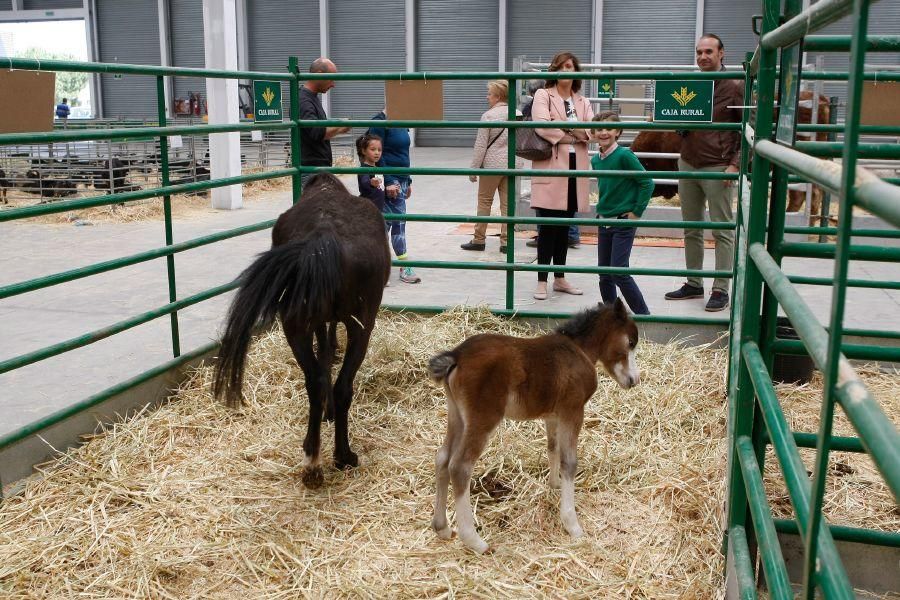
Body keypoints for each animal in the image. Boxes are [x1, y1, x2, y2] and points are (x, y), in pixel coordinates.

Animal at [216, 172, 392, 488]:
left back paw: (312, 460)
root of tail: (324, 236)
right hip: (362, 325)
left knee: (315, 380)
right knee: (342, 385)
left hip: (295, 325)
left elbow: (323, 355)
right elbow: (328, 348)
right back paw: (343, 455)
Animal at [428, 298, 640, 552]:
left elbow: (553, 449)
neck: (578, 349)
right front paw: (572, 525)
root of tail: (457, 355)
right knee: (460, 467)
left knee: (442, 458)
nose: (634, 380)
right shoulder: (573, 410)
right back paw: (475, 541)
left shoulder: (553, 415)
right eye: (630, 342)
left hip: (457, 416)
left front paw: (555, 485)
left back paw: (442, 528)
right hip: (483, 418)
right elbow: (569, 462)